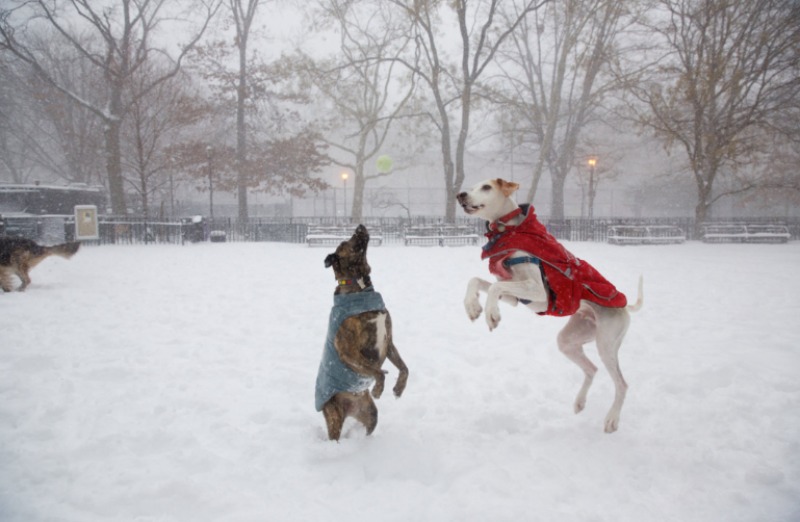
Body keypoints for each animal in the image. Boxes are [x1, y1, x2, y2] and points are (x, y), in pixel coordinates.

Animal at [314, 223, 410, 438]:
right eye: (345, 242)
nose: (360, 226)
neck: (359, 287)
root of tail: (349, 409)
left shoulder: (388, 342)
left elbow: (404, 368)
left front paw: (398, 389)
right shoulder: (348, 352)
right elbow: (378, 371)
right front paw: (378, 389)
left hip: (370, 413)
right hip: (334, 417)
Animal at [460, 179, 640, 430]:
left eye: (486, 187)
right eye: (472, 186)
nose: (460, 195)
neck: (510, 230)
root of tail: (624, 306)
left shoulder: (538, 291)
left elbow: (494, 289)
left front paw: (491, 314)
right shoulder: (513, 297)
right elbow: (476, 281)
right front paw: (473, 306)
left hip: (606, 344)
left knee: (622, 384)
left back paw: (612, 419)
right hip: (569, 340)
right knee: (591, 369)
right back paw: (579, 403)